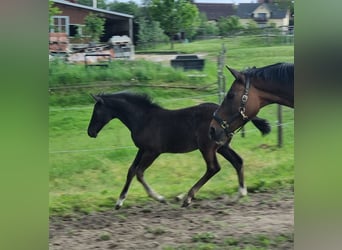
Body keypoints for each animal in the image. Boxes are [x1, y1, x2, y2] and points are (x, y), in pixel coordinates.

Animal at [87, 91, 272, 208]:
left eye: (96, 111)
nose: (90, 132)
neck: (143, 118)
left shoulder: (152, 151)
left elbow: (139, 172)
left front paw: (160, 198)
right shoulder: (142, 149)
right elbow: (131, 170)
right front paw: (119, 202)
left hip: (207, 147)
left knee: (213, 168)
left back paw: (187, 197)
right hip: (222, 146)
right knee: (237, 162)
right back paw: (239, 195)